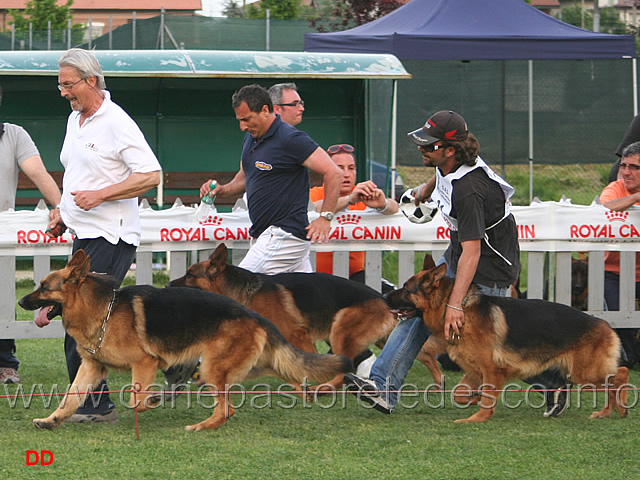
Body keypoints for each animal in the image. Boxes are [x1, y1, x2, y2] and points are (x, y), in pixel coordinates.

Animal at [18, 251, 350, 432]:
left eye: (44, 287)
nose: (21, 302)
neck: (101, 311)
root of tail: (254, 316)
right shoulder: (91, 367)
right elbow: (69, 399)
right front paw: (51, 420)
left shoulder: (145, 363)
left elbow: (137, 399)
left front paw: (154, 399)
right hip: (257, 365)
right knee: (294, 374)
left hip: (213, 369)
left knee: (226, 409)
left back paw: (200, 426)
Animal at [168, 246, 432, 388]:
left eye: (190, 274)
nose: (169, 285)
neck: (244, 291)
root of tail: (382, 297)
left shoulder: (298, 336)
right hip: (377, 336)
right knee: (422, 354)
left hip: (340, 333)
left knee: (343, 367)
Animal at [384, 260, 632, 422]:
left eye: (406, 288)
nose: (384, 296)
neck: (456, 308)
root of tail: (604, 324)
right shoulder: (475, 371)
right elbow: (460, 394)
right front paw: (474, 399)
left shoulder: (491, 369)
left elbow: (485, 397)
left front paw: (477, 418)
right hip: (580, 373)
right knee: (611, 382)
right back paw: (605, 412)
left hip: (584, 371)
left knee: (621, 374)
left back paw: (619, 408)